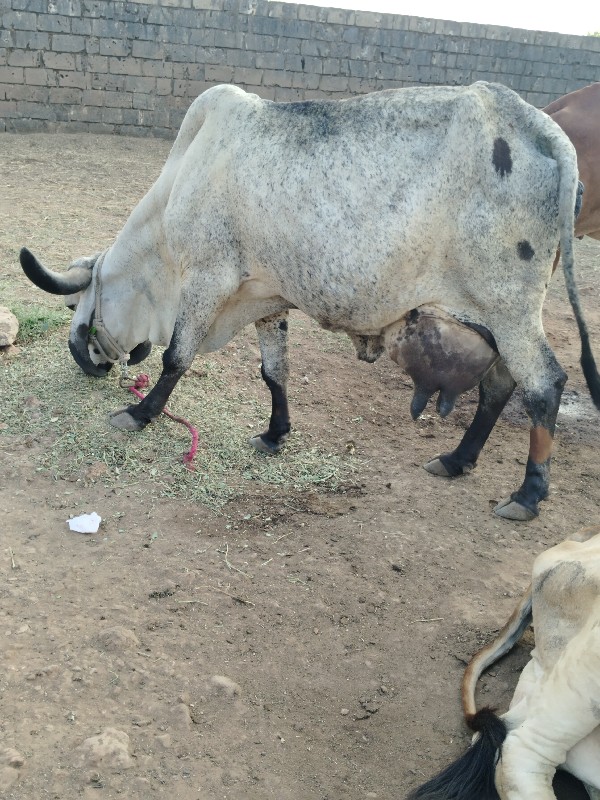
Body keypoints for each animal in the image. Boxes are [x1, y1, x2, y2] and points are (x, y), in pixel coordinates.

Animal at [19, 79, 600, 520]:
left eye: (74, 307)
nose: (84, 360)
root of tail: (541, 129)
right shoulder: (266, 295)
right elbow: (274, 371)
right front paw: (276, 433)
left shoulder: (206, 280)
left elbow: (175, 358)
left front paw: (140, 413)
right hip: (494, 317)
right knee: (500, 384)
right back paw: (458, 459)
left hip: (510, 308)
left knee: (543, 384)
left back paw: (527, 493)